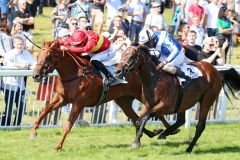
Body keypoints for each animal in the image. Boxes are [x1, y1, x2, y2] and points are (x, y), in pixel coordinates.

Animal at [31, 41, 175, 151]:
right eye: (37, 56)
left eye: (47, 57)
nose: (35, 75)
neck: (75, 74)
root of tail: (137, 69)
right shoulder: (62, 98)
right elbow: (46, 109)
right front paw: (34, 131)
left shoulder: (79, 103)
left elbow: (68, 125)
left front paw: (58, 146)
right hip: (123, 100)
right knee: (135, 118)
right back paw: (152, 133)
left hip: (143, 96)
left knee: (157, 113)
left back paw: (170, 131)